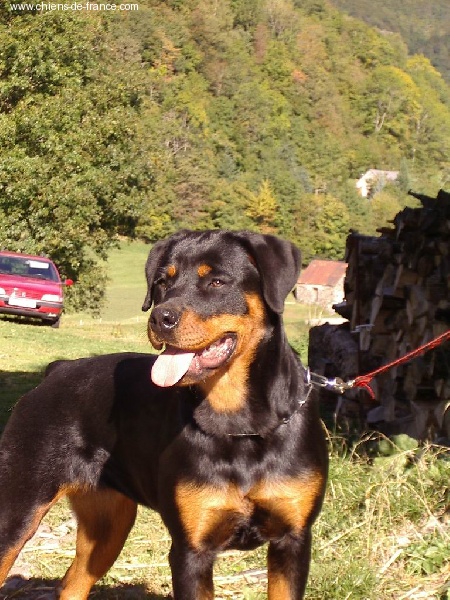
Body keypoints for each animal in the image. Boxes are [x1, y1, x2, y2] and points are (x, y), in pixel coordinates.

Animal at [0, 230, 328, 599]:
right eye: (162, 282)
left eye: (217, 281)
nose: (160, 318)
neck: (241, 424)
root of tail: (55, 370)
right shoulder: (190, 549)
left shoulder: (293, 540)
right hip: (18, 507)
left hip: (108, 524)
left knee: (73, 583)